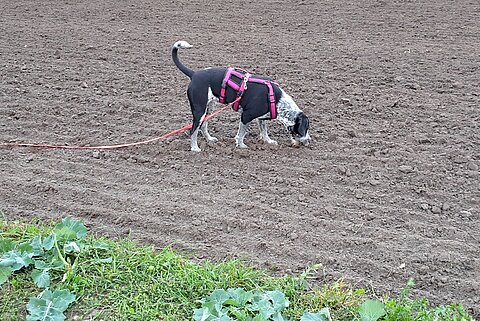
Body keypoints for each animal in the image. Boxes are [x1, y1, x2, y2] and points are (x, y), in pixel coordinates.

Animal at [172, 40, 312, 152]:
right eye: (306, 127)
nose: (309, 140)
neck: (277, 101)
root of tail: (194, 74)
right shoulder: (246, 116)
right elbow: (241, 133)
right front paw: (241, 145)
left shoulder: (261, 118)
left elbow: (264, 131)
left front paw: (268, 141)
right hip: (199, 110)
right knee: (193, 130)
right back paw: (195, 148)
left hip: (209, 108)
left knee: (203, 125)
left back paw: (210, 139)